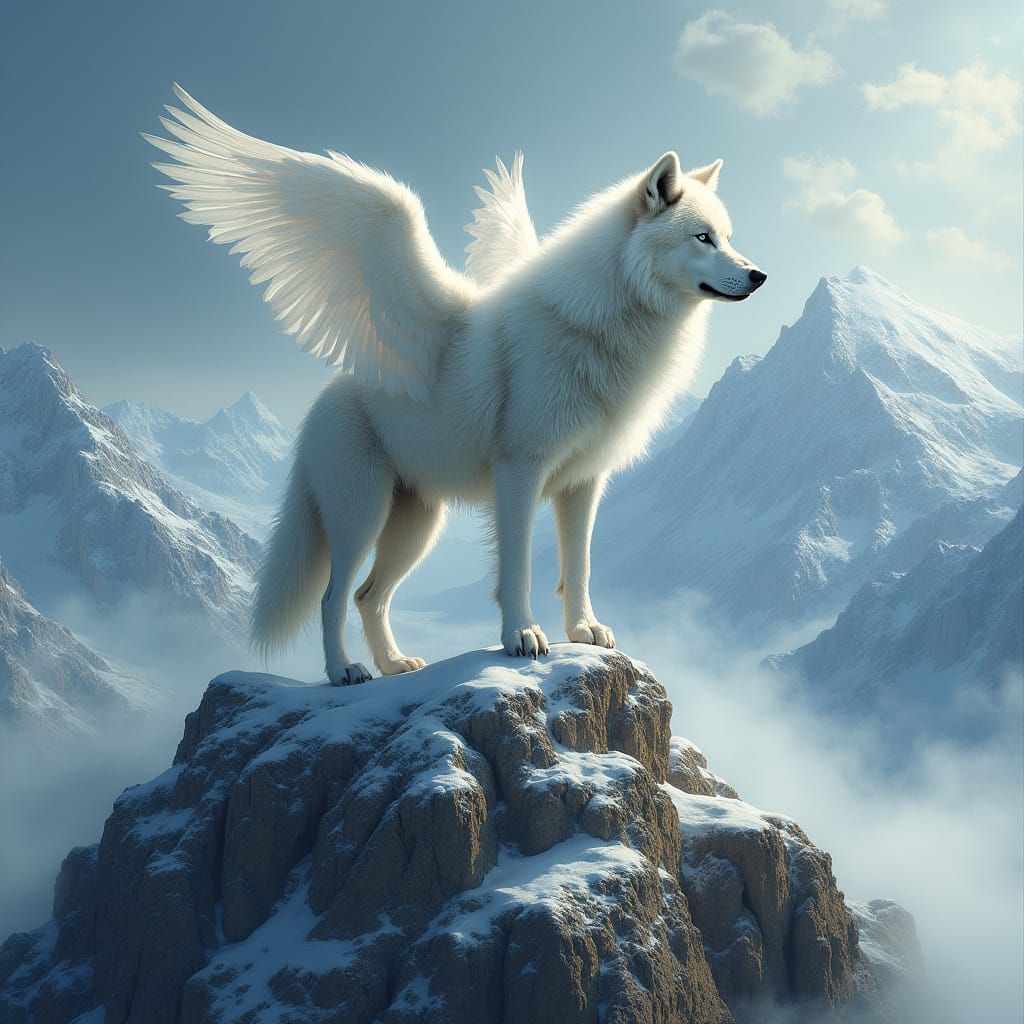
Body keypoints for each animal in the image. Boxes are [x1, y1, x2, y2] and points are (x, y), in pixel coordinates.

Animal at [147, 85, 766, 684]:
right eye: (703, 238)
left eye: (728, 236)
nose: (759, 275)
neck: (603, 318)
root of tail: (323, 399)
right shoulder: (520, 471)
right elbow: (517, 569)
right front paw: (522, 637)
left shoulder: (583, 482)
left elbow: (579, 566)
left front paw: (583, 631)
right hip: (360, 516)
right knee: (332, 596)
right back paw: (345, 671)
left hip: (417, 526)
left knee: (370, 597)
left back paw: (394, 665)